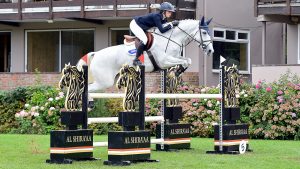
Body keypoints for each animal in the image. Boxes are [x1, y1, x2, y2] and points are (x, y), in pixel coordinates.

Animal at [76, 16, 214, 91]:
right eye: (204, 32)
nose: (210, 51)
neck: (170, 38)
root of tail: (96, 54)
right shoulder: (164, 61)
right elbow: (185, 61)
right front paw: (178, 71)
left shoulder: (174, 57)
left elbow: (188, 60)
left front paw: (178, 71)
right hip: (104, 81)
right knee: (88, 89)